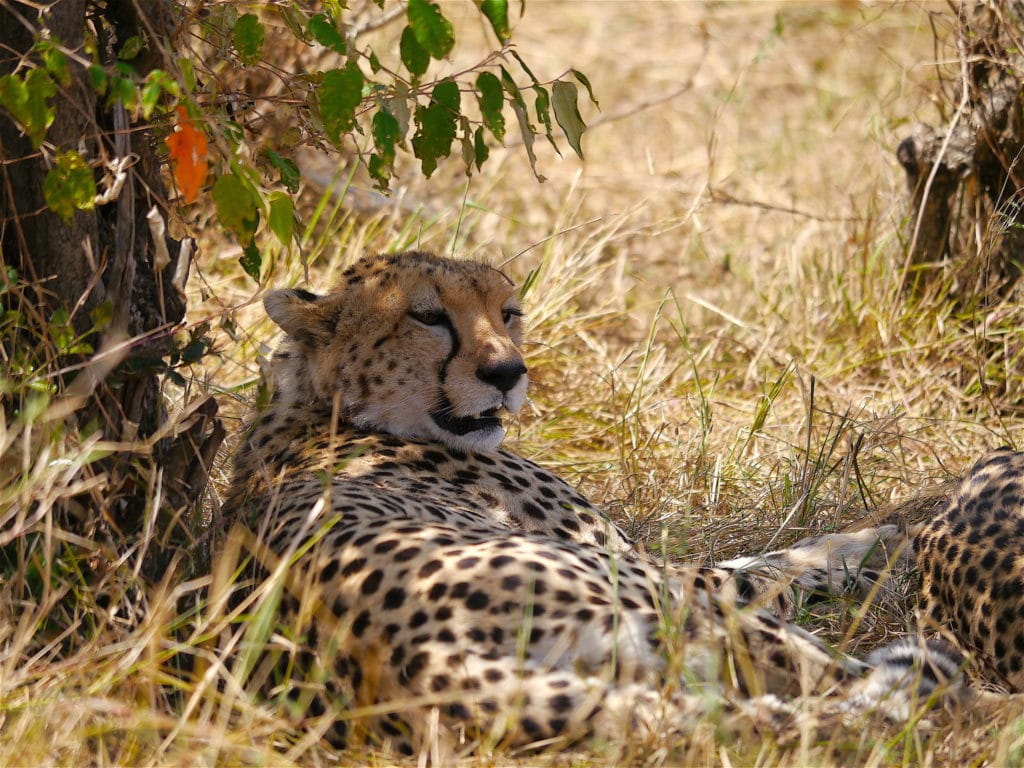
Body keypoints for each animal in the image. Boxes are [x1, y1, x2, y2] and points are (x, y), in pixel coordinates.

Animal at [218, 252, 1007, 757]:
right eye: (428, 317)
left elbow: (755, 559)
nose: (508, 372)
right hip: (667, 612)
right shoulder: (654, 566)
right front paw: (880, 537)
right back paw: (988, 710)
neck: (322, 405)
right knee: (864, 689)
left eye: (509, 312)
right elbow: (764, 565)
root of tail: (419, 658)